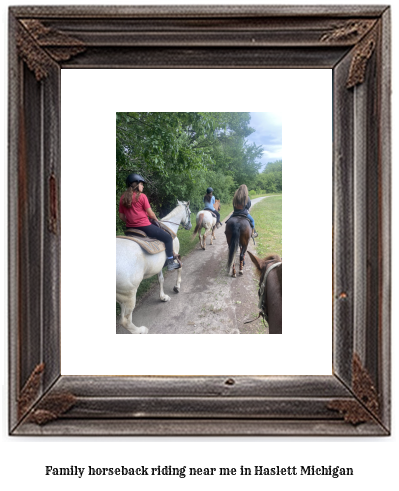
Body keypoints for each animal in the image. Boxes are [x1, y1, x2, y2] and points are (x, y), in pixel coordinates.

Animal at [115, 200, 192, 334]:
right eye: (190, 212)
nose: (190, 226)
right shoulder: (175, 256)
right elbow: (180, 268)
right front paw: (177, 287)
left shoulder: (159, 265)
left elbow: (161, 279)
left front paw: (163, 297)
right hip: (128, 295)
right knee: (125, 320)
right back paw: (141, 330)